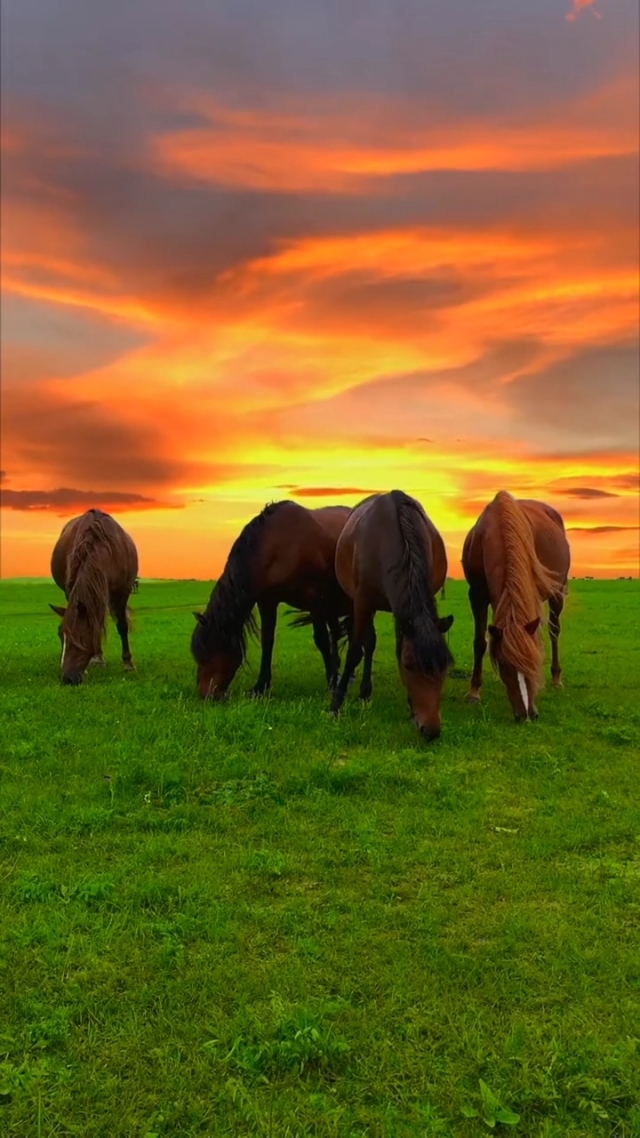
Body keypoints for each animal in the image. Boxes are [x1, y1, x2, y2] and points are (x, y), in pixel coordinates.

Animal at [49, 509, 138, 682]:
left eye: (79, 637)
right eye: (60, 635)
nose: (67, 678)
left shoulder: (122, 592)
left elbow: (122, 626)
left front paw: (128, 663)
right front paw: (96, 659)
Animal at [189, 500, 350, 696]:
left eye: (211, 649)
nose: (205, 695)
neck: (283, 545)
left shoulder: (316, 600)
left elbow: (321, 640)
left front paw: (333, 683)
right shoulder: (267, 601)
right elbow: (267, 641)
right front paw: (260, 687)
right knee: (337, 633)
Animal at [327, 489, 453, 737]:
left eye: (444, 668)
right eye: (409, 665)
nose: (431, 730)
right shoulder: (362, 601)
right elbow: (355, 651)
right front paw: (336, 704)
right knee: (368, 643)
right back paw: (363, 692)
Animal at [457, 489, 567, 719]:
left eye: (532, 661)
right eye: (504, 666)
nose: (526, 714)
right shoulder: (477, 595)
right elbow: (480, 642)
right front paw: (474, 692)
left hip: (558, 592)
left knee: (554, 632)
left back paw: (556, 679)